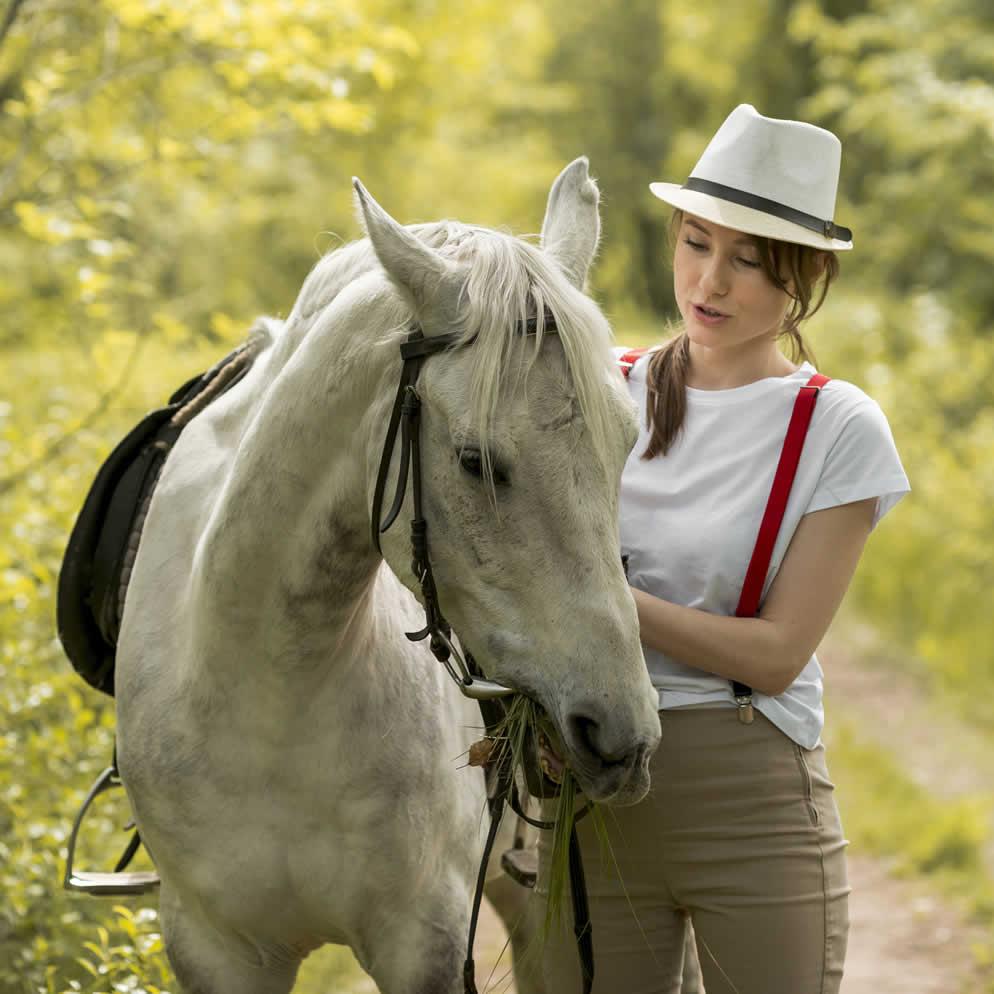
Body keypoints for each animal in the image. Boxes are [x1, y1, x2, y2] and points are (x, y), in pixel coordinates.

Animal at [114, 159, 660, 988]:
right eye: (475, 461)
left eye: (628, 441)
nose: (621, 733)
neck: (271, 691)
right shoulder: (215, 948)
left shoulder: (424, 945)